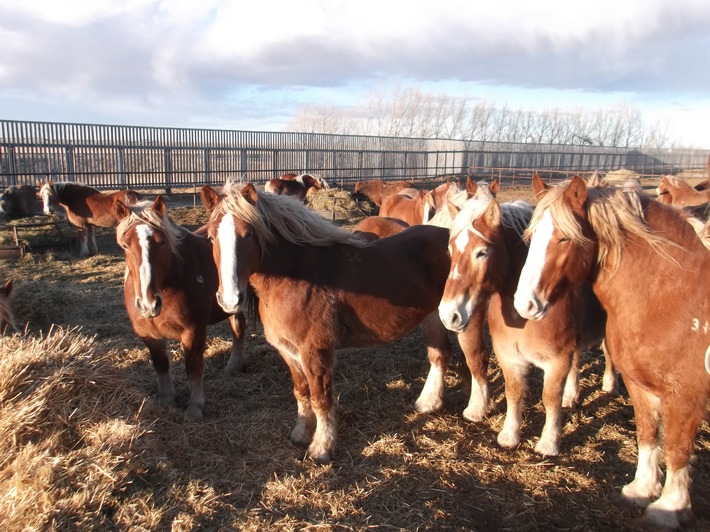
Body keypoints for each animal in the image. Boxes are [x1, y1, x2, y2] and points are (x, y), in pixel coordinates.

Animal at [112, 196, 247, 420]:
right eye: (124, 244)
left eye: (161, 242)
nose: (148, 304)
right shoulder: (149, 335)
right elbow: (161, 366)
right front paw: (167, 400)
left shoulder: (193, 331)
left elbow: (193, 367)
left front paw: (195, 407)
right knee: (238, 327)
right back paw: (233, 366)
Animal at [201, 181, 454, 463]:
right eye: (210, 237)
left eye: (248, 234)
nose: (230, 299)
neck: (296, 275)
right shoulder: (288, 351)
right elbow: (301, 392)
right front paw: (300, 433)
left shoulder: (315, 352)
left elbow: (321, 399)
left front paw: (321, 448)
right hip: (434, 317)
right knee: (440, 355)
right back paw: (428, 404)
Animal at [438, 191, 615, 457]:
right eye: (450, 251)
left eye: (482, 252)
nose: (449, 314)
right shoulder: (509, 355)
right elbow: (513, 392)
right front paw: (509, 435)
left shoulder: (557, 361)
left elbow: (550, 397)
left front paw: (548, 443)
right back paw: (572, 396)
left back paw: (609, 384)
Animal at [513, 176, 710, 529]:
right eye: (532, 236)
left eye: (564, 238)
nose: (525, 305)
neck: (673, 293)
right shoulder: (639, 384)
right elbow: (646, 434)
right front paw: (641, 489)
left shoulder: (685, 396)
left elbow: (676, 448)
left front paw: (670, 508)